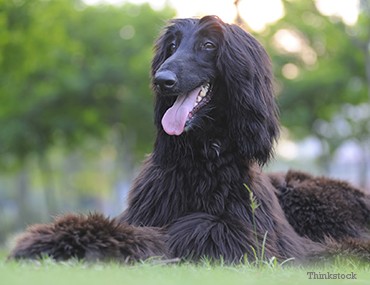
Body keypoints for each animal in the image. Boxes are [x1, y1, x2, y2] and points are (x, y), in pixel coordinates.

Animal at [9, 15, 370, 262]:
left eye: (209, 45)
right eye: (172, 46)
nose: (162, 80)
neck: (200, 159)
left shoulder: (262, 239)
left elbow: (197, 228)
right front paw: (55, 238)